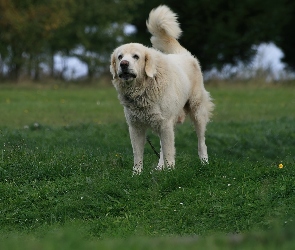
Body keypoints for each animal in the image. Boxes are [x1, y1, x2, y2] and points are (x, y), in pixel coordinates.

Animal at [110, 5, 214, 174]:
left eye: (136, 56)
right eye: (120, 57)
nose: (124, 64)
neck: (142, 89)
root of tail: (183, 53)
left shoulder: (165, 124)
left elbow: (169, 151)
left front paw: (170, 172)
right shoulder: (136, 127)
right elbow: (138, 154)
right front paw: (136, 174)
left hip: (197, 111)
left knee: (201, 141)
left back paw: (204, 162)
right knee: (161, 148)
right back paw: (159, 167)